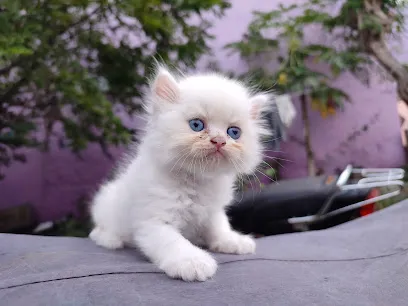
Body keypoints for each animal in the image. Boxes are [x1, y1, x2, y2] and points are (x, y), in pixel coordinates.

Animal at [91, 67, 272, 282]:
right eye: (197, 125)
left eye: (234, 132)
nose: (219, 140)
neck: (196, 180)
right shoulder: (154, 221)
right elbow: (174, 242)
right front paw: (193, 262)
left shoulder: (212, 213)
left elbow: (219, 228)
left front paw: (233, 240)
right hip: (105, 207)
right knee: (97, 231)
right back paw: (111, 240)